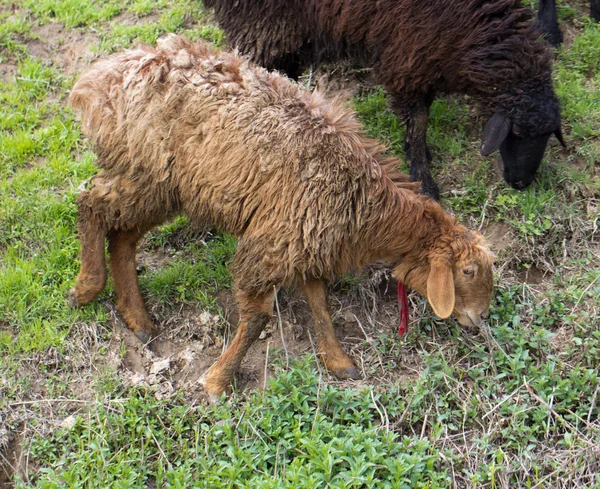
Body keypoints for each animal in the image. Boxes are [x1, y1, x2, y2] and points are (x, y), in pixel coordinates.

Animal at [69, 37, 492, 396]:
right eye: (466, 271)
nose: (480, 318)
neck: (360, 199)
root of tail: (101, 77)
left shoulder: (306, 240)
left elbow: (320, 304)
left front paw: (338, 362)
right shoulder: (272, 244)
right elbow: (258, 318)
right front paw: (217, 381)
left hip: (159, 186)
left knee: (122, 235)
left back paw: (137, 320)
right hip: (145, 173)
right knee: (91, 204)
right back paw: (87, 288)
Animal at [204, 0, 564, 199]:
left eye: (548, 136)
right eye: (515, 134)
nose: (522, 184)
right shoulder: (409, 55)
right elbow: (419, 121)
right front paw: (424, 179)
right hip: (264, 23)